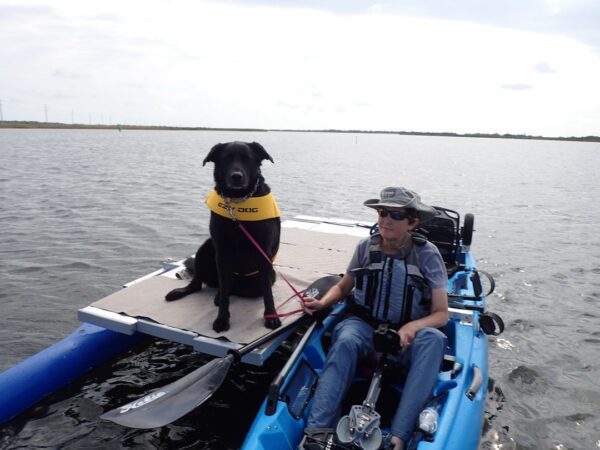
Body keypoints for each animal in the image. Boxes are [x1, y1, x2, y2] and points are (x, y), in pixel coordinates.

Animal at [165, 142, 282, 332]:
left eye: (247, 158)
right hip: (206, 248)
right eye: (226, 158)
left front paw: (271, 317)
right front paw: (222, 319)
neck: (238, 202)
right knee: (200, 284)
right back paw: (183, 292)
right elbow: (225, 295)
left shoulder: (263, 253)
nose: (236, 177)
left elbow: (268, 294)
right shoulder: (222, 253)